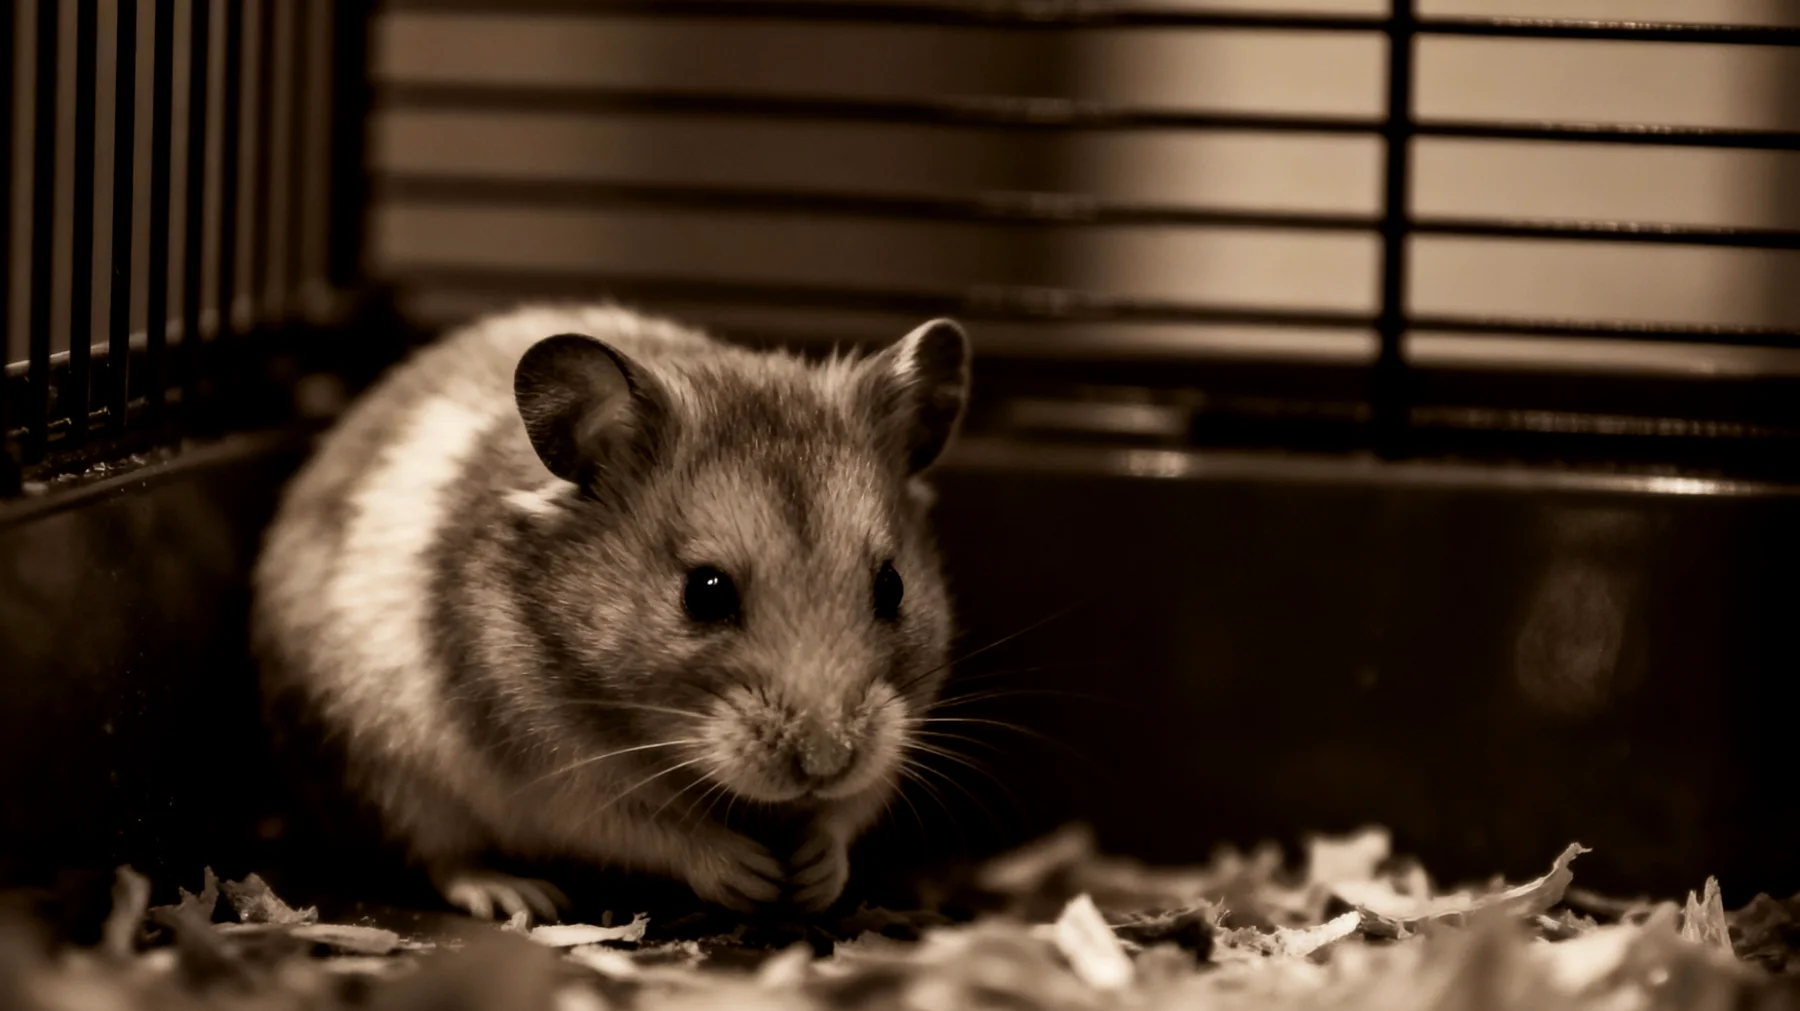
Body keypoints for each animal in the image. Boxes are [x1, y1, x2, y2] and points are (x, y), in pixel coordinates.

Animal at [251, 303, 971, 921]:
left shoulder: (892, 745)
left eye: (892, 586)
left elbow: (843, 817)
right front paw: (755, 875)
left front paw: (814, 872)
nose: (825, 764)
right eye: (706, 592)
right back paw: (520, 896)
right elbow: (657, 831)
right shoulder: (558, 782)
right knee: (442, 856)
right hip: (388, 774)